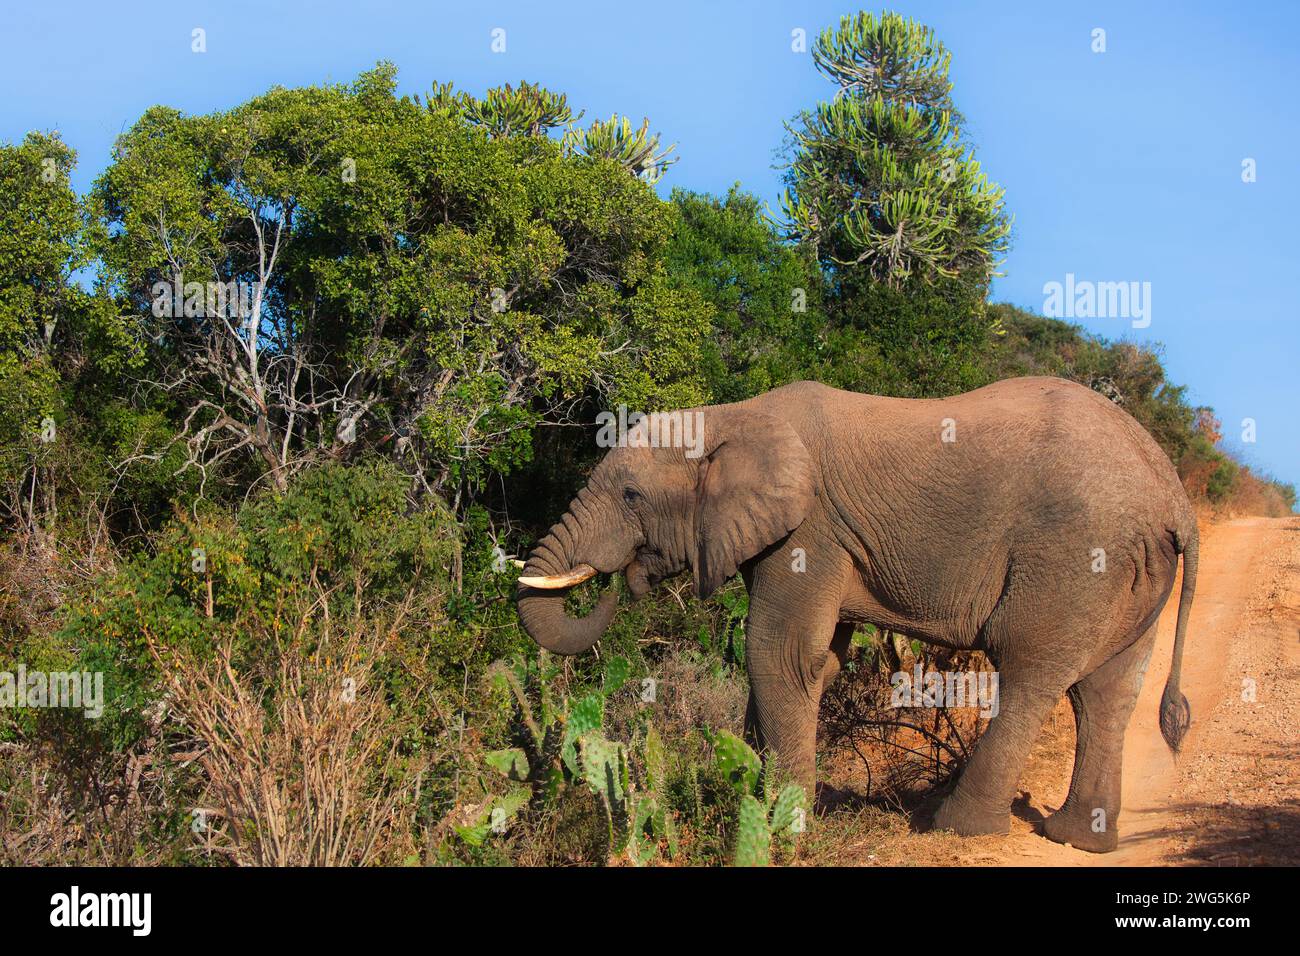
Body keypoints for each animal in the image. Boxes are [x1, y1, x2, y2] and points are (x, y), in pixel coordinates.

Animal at [514, 374, 1196, 853]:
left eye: (632, 496)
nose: (614, 579)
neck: (731, 415)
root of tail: (1174, 496)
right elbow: (815, 661)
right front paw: (746, 796)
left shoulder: (812, 529)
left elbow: (781, 653)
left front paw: (785, 827)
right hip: (1131, 575)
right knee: (1107, 692)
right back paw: (1077, 838)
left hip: (1076, 558)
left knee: (1033, 673)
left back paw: (953, 828)